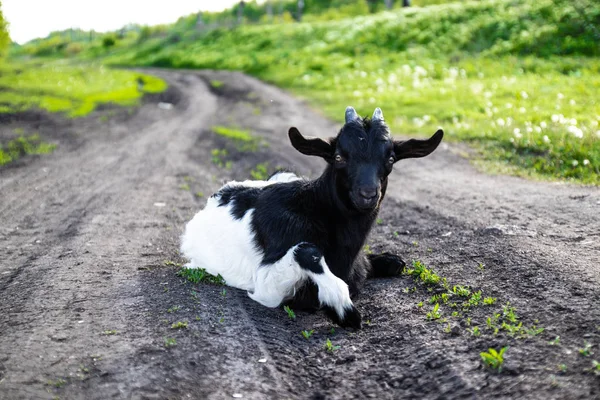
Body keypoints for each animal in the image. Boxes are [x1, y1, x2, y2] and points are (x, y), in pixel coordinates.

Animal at [180, 106, 442, 328]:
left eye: (390, 159)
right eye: (339, 157)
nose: (368, 194)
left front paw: (388, 261)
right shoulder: (266, 287)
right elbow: (307, 251)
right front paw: (345, 310)